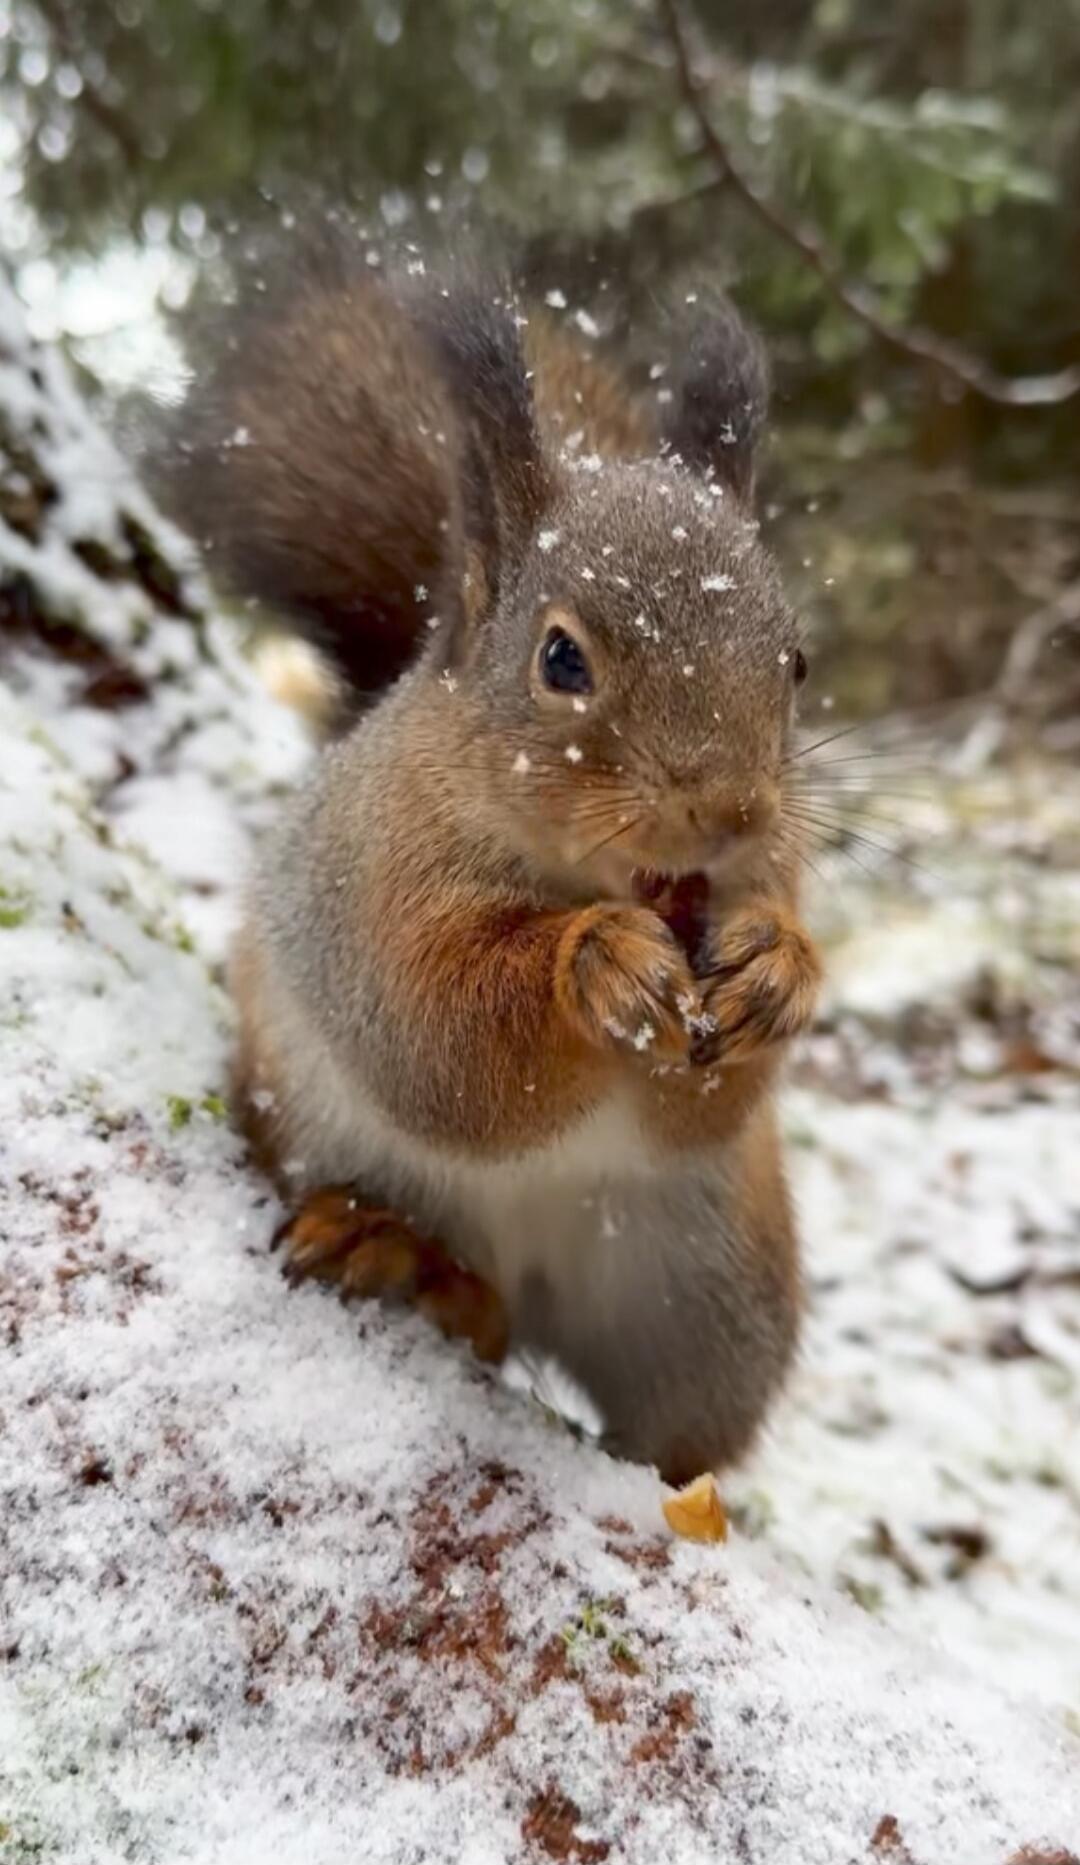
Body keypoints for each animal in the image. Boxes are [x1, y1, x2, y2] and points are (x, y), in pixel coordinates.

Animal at [160, 231, 822, 1486]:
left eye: (796, 661)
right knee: (477, 1298)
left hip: (710, 1299)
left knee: (666, 1427)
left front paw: (779, 968)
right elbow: (442, 1037)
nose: (729, 811)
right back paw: (402, 1256)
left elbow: (706, 1103)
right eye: (562, 658)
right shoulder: (370, 887)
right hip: (328, 1136)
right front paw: (595, 962)